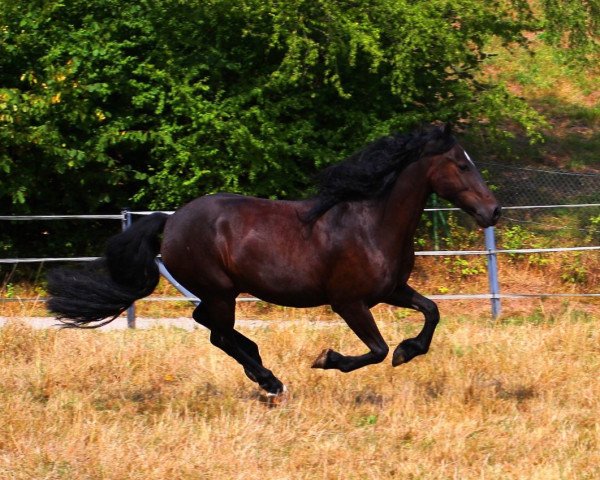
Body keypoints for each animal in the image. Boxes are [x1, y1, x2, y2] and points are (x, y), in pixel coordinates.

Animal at [47, 124, 500, 398]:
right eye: (461, 165)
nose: (493, 212)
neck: (372, 224)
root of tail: (171, 220)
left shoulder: (392, 290)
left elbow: (432, 311)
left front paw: (410, 350)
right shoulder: (349, 303)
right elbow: (376, 349)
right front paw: (327, 359)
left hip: (219, 293)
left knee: (209, 325)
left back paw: (259, 364)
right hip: (220, 291)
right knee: (217, 334)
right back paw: (270, 380)